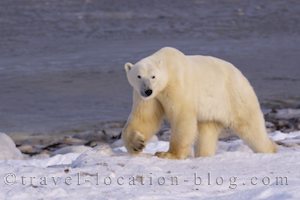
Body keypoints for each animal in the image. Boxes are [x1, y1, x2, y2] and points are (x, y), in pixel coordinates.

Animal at [122, 47, 276, 159]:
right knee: (206, 133)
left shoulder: (178, 86)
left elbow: (182, 117)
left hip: (234, 97)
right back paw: (204, 155)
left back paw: (270, 149)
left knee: (251, 128)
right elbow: (144, 118)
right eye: (139, 76)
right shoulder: (148, 97)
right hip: (212, 111)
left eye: (153, 76)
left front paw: (168, 154)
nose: (147, 90)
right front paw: (137, 144)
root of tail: (242, 76)